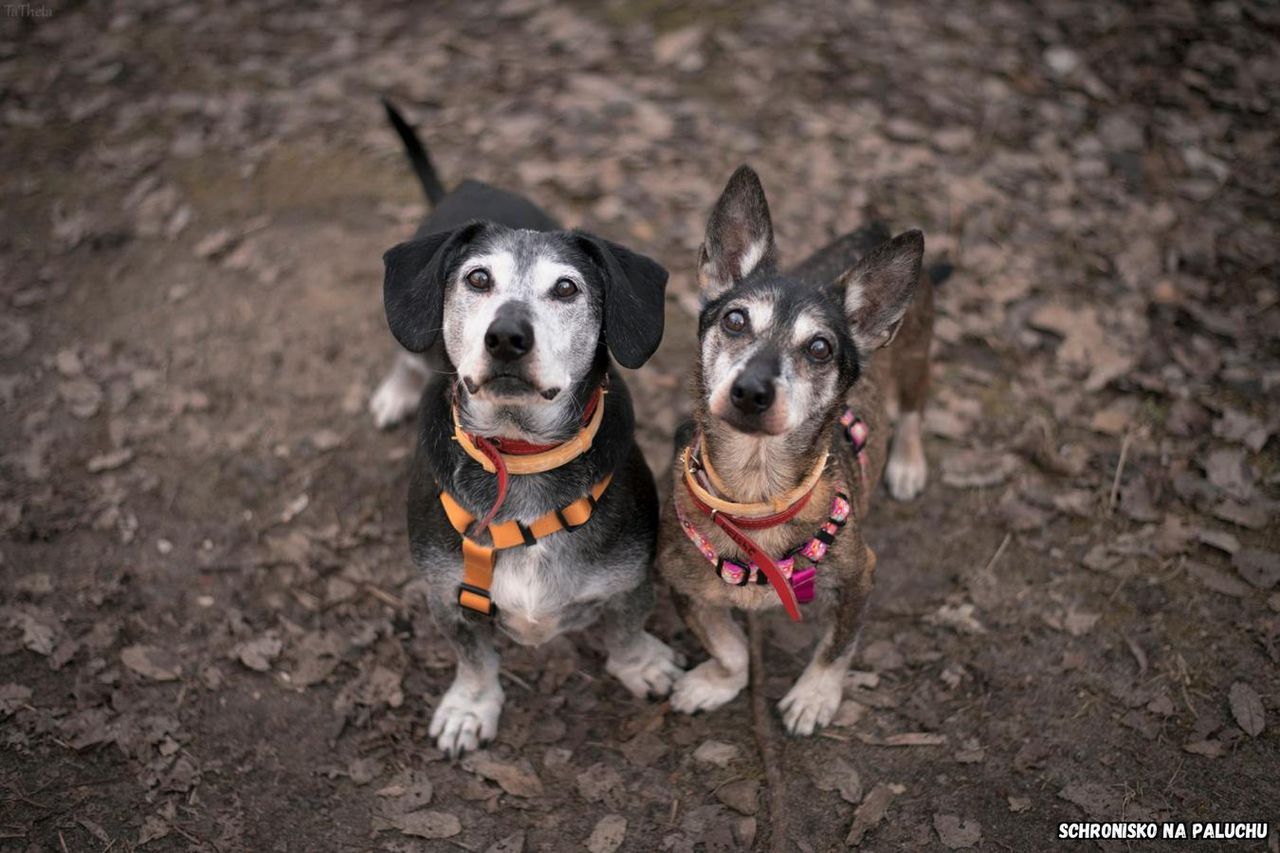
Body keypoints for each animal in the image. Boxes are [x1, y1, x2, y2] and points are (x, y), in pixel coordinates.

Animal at [373, 103, 680, 753]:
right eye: (477, 279)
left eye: (566, 287)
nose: (508, 336)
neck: (518, 455)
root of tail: (467, 186)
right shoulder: (445, 595)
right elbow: (474, 659)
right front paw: (471, 706)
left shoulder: (633, 579)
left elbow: (625, 630)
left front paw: (640, 664)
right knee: (407, 357)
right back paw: (393, 393)